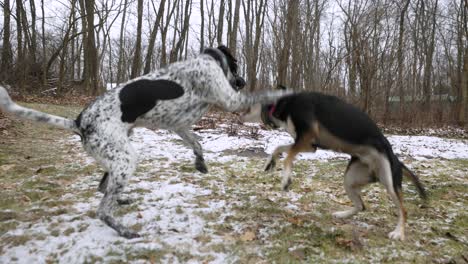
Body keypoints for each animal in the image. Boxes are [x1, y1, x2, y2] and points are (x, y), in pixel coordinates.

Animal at [0, 46, 288, 239]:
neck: (204, 61)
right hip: (126, 158)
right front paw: (283, 91)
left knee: (103, 188)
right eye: (236, 66)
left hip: (117, 156)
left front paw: (200, 163)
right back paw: (124, 230)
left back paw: (121, 201)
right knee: (102, 209)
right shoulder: (231, 100)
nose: (242, 81)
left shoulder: (180, 126)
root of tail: (79, 122)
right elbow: (263, 94)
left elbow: (197, 144)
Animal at [245, 88, 428, 239]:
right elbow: (279, 148)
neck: (284, 104)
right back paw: (342, 214)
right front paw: (270, 162)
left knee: (403, 210)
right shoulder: (309, 145)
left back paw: (398, 233)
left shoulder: (306, 139)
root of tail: (397, 160)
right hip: (350, 180)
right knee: (361, 206)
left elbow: (288, 156)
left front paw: (285, 179)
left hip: (388, 181)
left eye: (249, 104)